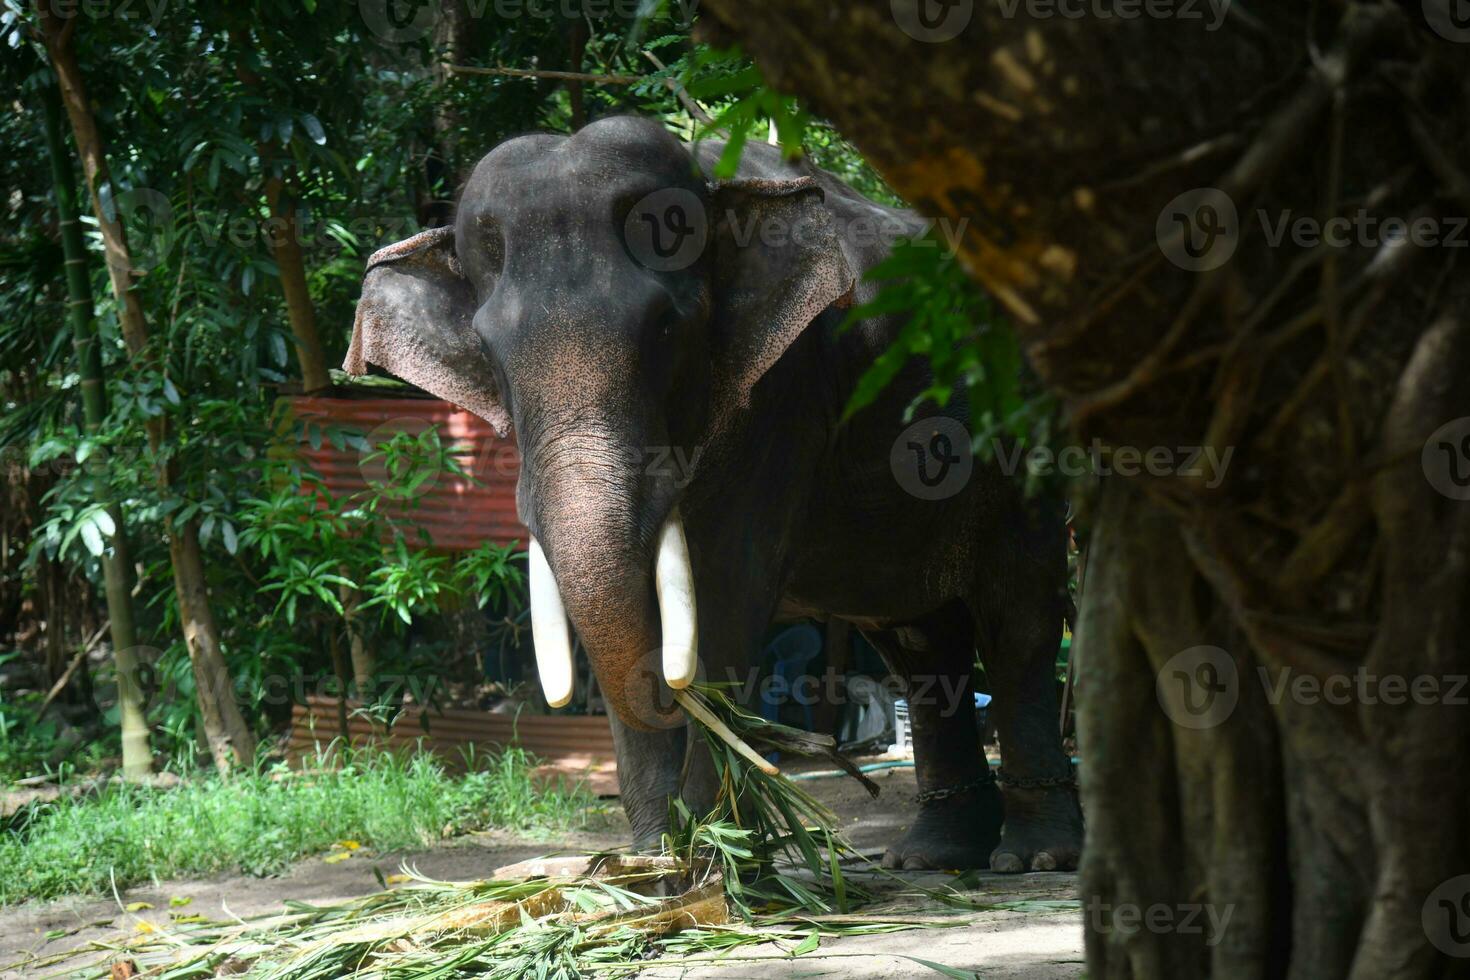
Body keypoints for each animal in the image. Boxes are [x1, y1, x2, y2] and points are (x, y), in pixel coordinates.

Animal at [343, 115, 1081, 875]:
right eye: (489, 353)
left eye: (668, 328)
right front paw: (654, 870)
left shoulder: (781, 392)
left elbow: (725, 596)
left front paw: (708, 862)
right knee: (919, 643)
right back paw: (932, 856)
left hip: (1023, 433)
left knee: (1018, 617)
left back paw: (1033, 857)